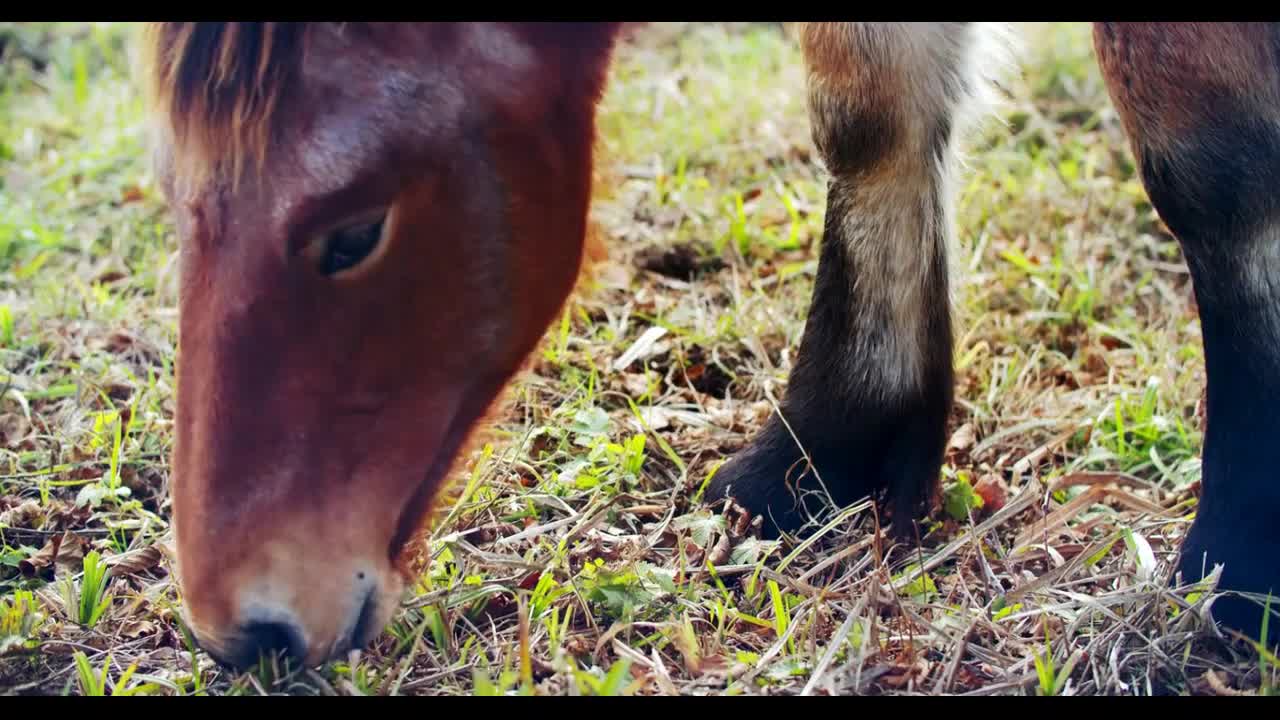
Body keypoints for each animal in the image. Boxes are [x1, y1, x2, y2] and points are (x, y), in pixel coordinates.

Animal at [137, 22, 1280, 671]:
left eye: (353, 234)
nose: (244, 629)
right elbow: (867, 102)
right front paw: (825, 453)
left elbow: (1204, 156)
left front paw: (1243, 561)